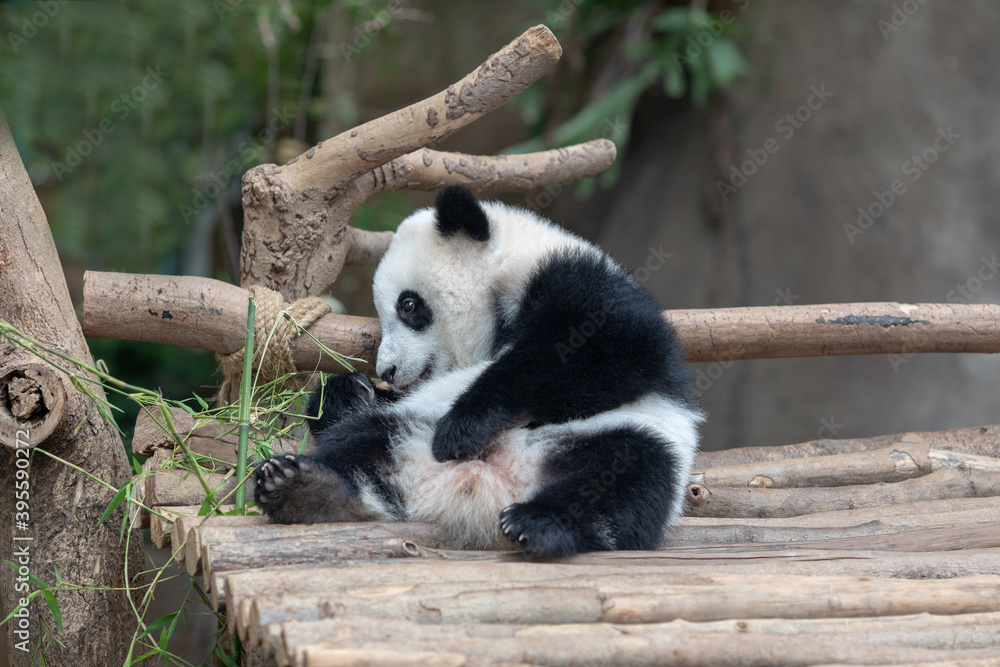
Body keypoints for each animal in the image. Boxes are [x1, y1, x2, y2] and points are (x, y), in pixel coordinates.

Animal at [254, 186, 703, 556]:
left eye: (408, 305)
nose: (389, 369)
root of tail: (486, 494)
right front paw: (350, 391)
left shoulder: (580, 282)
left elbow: (614, 349)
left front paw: (462, 427)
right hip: (408, 427)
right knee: (363, 446)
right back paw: (302, 488)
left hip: (625, 437)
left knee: (625, 478)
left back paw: (537, 523)